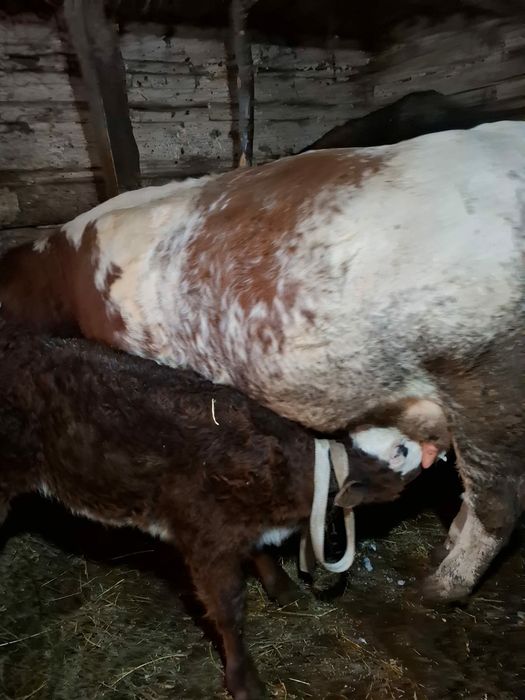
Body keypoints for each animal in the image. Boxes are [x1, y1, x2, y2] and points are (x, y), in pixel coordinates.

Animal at [0, 322, 428, 700]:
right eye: (401, 451)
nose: (428, 446)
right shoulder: (208, 539)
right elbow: (229, 612)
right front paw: (244, 682)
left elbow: (260, 552)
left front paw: (283, 589)